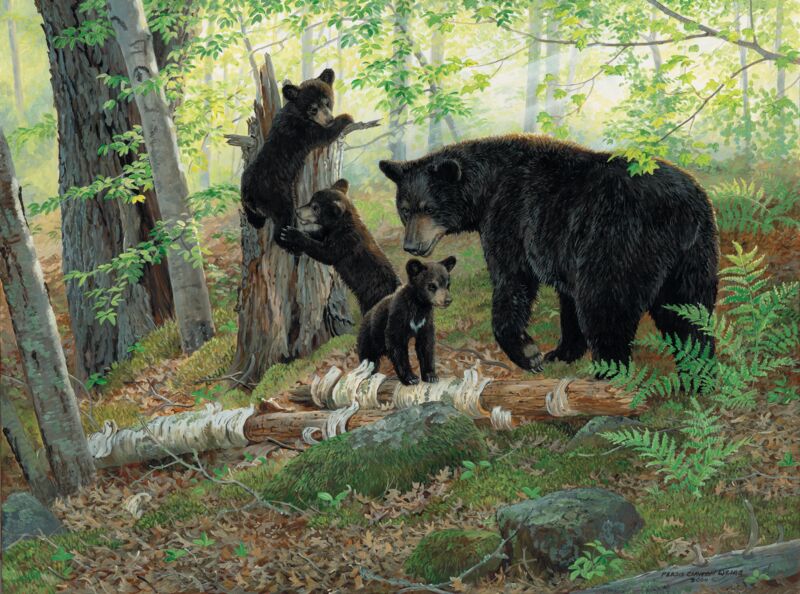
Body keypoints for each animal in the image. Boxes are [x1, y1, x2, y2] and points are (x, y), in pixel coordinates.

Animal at [240, 68, 354, 236]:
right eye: (313, 108)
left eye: (327, 102)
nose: (329, 119)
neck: (298, 113)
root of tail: (250, 195)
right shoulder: (303, 130)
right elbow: (324, 135)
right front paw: (346, 117)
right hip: (279, 197)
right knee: (284, 218)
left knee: (254, 218)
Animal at [278, 178, 401, 314]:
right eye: (310, 200)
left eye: (316, 207)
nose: (297, 211)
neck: (342, 225)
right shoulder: (328, 233)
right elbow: (318, 235)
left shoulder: (346, 242)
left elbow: (326, 254)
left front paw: (292, 234)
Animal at [358, 257, 457, 385]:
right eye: (431, 285)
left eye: (447, 285)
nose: (448, 300)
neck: (419, 306)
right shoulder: (398, 317)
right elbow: (397, 346)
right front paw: (411, 378)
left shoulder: (425, 322)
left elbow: (426, 346)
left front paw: (431, 376)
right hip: (369, 338)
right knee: (369, 358)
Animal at [378, 134, 719, 373]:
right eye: (405, 209)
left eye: (429, 208)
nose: (411, 246)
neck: (489, 184)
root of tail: (678, 208)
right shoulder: (563, 249)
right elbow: (567, 299)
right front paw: (562, 352)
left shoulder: (511, 216)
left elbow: (512, 279)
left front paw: (528, 353)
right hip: (694, 254)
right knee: (690, 313)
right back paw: (698, 374)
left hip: (620, 242)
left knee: (606, 304)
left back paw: (608, 372)